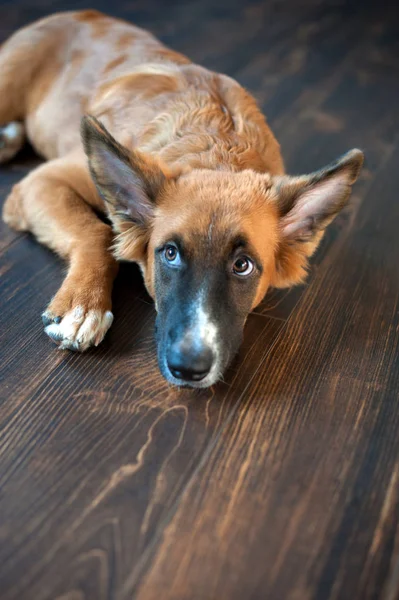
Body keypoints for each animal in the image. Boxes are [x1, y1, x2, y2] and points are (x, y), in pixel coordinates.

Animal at [0, 10, 364, 390]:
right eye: (170, 254)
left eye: (243, 265)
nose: (188, 369)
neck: (217, 149)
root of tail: (71, 14)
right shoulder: (40, 182)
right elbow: (97, 233)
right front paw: (83, 305)